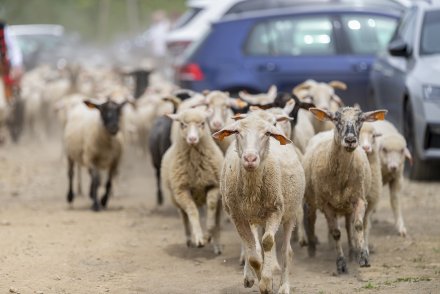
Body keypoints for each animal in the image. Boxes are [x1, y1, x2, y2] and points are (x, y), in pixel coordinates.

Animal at [161, 107, 223, 253]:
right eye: (182, 124)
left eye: (202, 123)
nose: (193, 139)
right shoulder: (182, 190)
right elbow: (192, 211)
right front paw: (199, 238)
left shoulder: (213, 185)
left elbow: (211, 206)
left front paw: (208, 236)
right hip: (175, 199)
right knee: (184, 217)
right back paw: (189, 239)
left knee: (217, 219)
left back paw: (216, 244)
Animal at [214, 113, 304, 294]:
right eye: (237, 131)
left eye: (267, 133)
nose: (250, 158)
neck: (252, 191)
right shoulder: (238, 216)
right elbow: (253, 255)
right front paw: (260, 278)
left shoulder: (275, 210)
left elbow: (268, 242)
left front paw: (267, 281)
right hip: (253, 216)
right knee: (252, 246)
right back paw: (250, 276)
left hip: (290, 213)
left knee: (286, 251)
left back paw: (284, 286)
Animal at [302, 105, 388, 274]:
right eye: (336, 119)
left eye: (360, 120)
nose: (350, 140)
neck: (340, 178)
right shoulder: (327, 205)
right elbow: (336, 233)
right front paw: (341, 263)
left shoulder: (359, 199)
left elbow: (358, 225)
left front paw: (363, 257)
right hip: (311, 201)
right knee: (310, 221)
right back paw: (311, 250)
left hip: (347, 205)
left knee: (348, 226)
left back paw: (352, 252)